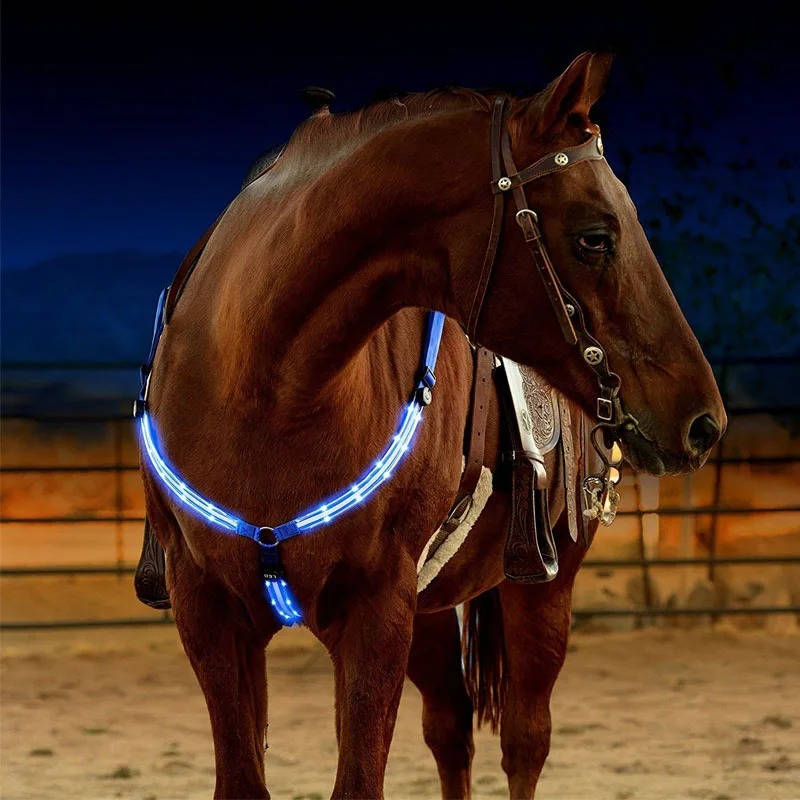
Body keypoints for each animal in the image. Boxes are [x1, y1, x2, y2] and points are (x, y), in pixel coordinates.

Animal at [138, 52, 725, 798]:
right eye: (595, 237)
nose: (703, 421)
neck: (264, 389)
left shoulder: (376, 611)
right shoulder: (210, 612)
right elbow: (246, 777)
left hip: (542, 587)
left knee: (525, 741)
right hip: (430, 611)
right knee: (451, 730)